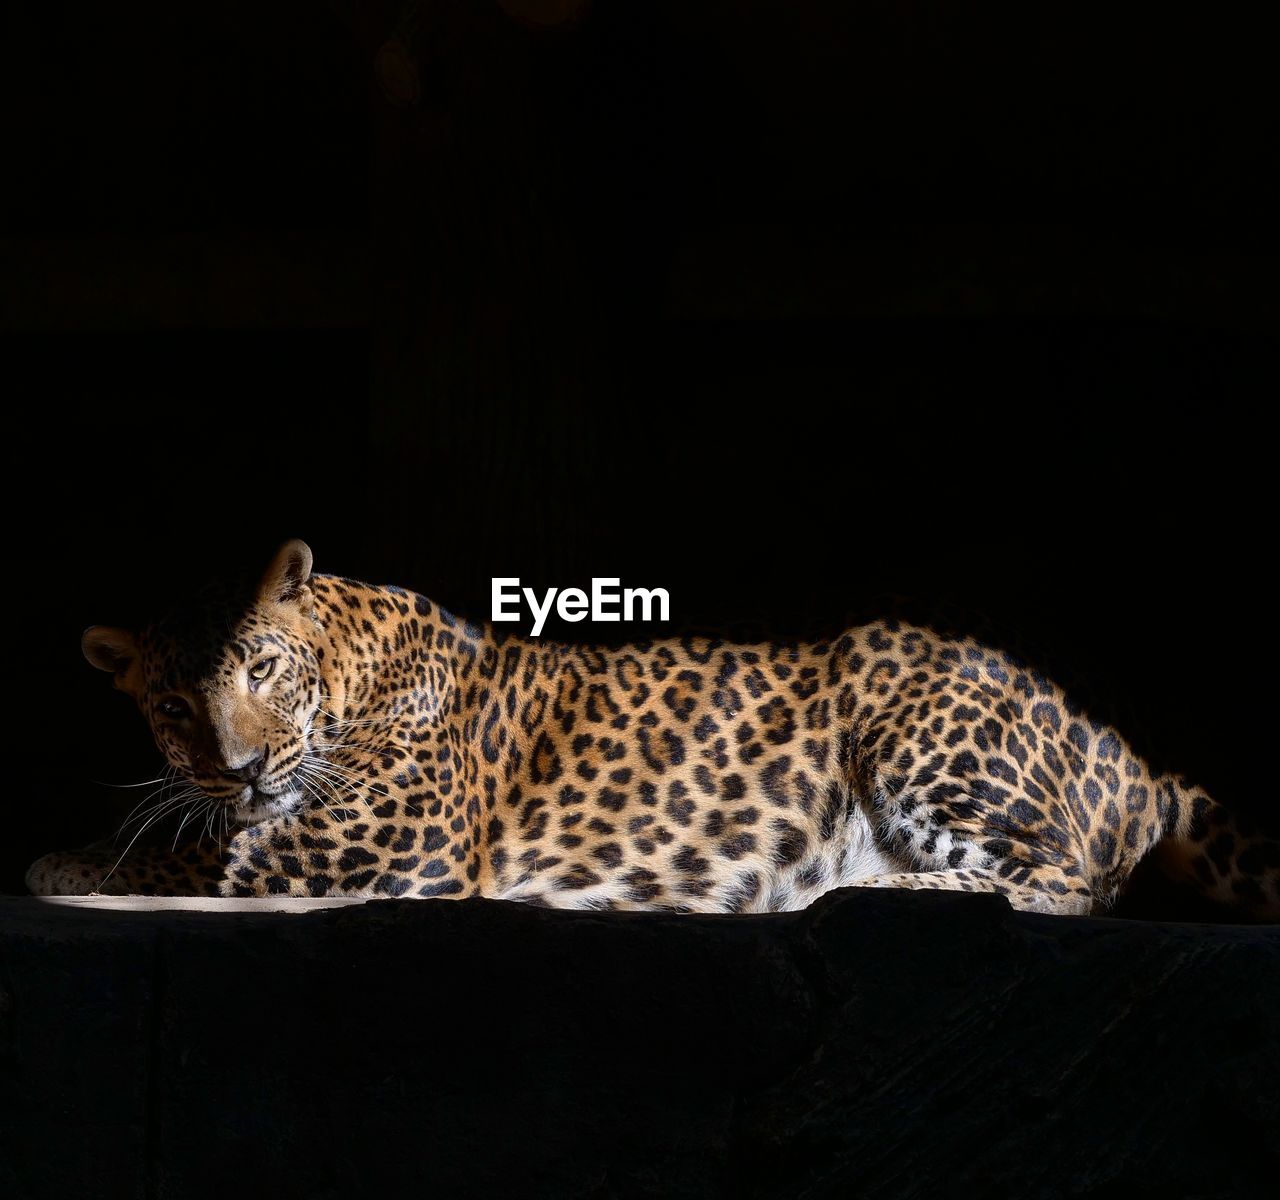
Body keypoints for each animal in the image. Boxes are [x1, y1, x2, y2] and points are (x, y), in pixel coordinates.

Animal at [27, 534, 1280, 915]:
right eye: (173, 704)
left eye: (260, 667)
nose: (237, 765)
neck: (344, 663)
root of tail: (1126, 754)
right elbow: (202, 834)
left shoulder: (386, 839)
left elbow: (210, 854)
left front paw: (69, 862)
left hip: (915, 717)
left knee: (1071, 883)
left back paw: (872, 889)